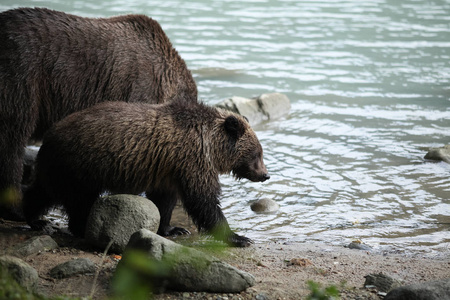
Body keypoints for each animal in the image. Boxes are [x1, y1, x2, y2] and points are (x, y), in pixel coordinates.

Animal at [22, 100, 268, 246]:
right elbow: (203, 200)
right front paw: (239, 237)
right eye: (257, 153)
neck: (211, 145)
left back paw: (35, 218)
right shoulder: (192, 160)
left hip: (65, 168)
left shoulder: (169, 170)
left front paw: (173, 229)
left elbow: (165, 201)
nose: (265, 175)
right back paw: (78, 228)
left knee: (44, 191)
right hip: (79, 166)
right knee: (78, 201)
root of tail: (49, 135)